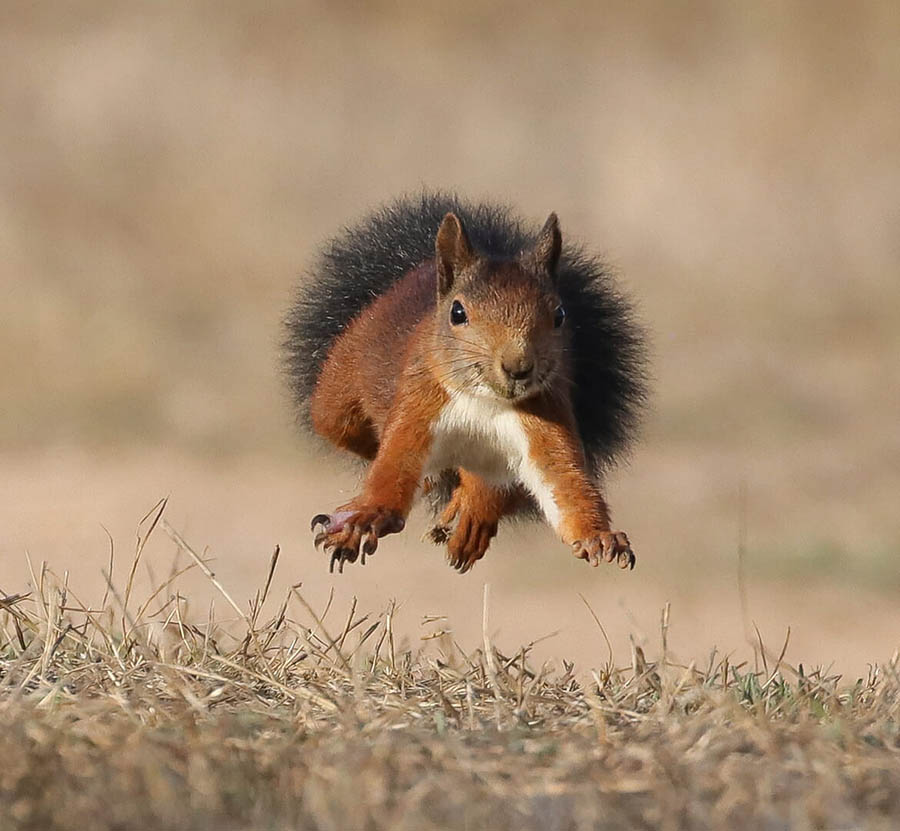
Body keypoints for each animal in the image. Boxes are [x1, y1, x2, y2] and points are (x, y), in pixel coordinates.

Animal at [283, 192, 648, 574]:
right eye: (458, 313)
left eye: (559, 315)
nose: (518, 367)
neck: (485, 401)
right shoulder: (419, 407)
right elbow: (394, 468)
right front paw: (366, 516)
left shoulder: (545, 419)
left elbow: (565, 484)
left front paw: (598, 536)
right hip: (338, 394)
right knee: (354, 433)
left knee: (493, 487)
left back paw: (471, 511)